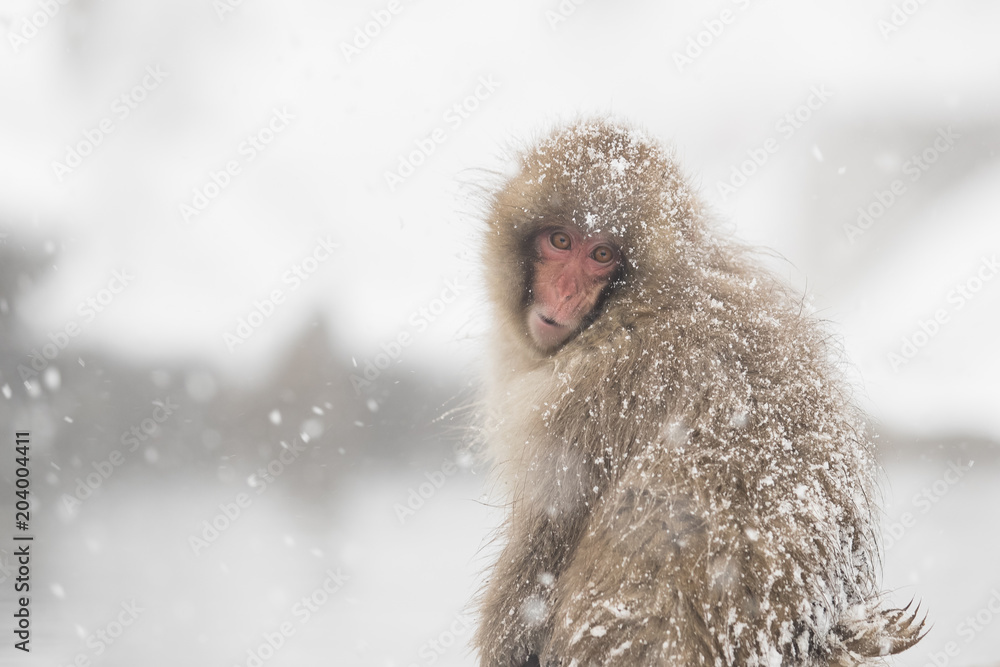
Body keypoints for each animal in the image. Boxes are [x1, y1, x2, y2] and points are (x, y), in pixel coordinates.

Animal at [472, 121, 924, 667]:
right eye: (560, 240)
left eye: (601, 254)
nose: (563, 292)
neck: (639, 301)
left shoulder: (588, 397)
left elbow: (538, 559)